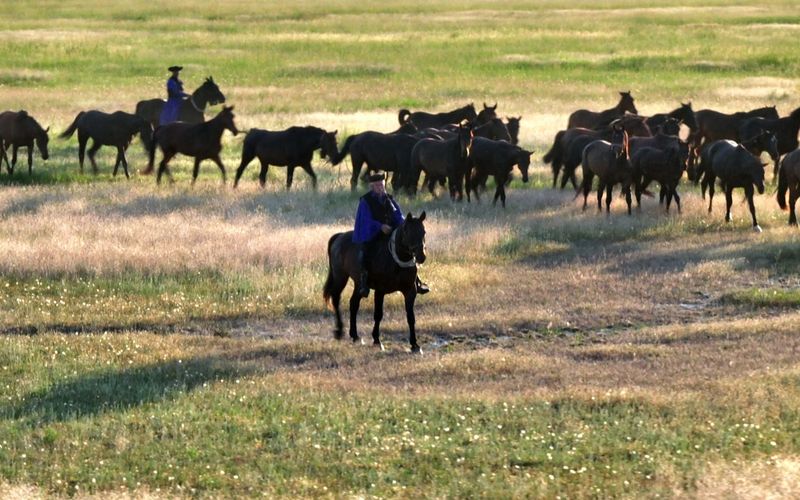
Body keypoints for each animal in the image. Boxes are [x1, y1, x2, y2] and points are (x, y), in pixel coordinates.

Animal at [322, 213, 428, 354]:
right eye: (408, 232)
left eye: (423, 232)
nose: (422, 257)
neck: (396, 261)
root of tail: (339, 237)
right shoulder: (380, 291)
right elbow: (378, 314)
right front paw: (377, 340)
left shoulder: (410, 291)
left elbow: (411, 317)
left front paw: (415, 344)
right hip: (340, 277)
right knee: (336, 299)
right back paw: (339, 331)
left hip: (358, 284)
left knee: (353, 304)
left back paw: (355, 336)